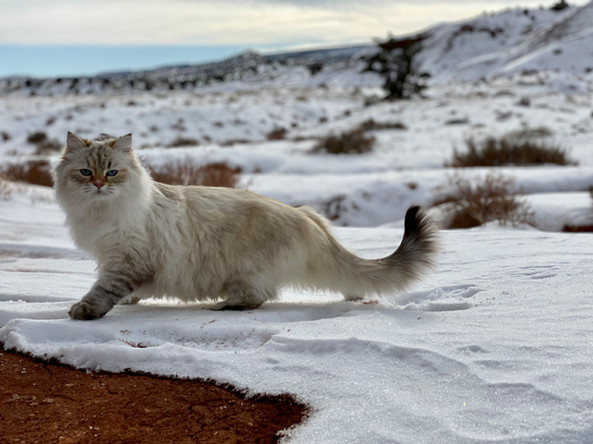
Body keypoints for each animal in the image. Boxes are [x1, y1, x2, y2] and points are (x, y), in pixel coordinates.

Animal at [53, 132, 438, 320]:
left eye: (112, 172)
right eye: (85, 172)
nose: (99, 184)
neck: (102, 213)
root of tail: (307, 218)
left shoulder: (127, 260)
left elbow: (103, 291)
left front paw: (85, 311)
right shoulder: (118, 259)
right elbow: (125, 290)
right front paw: (130, 300)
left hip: (246, 269)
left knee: (259, 297)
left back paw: (225, 306)